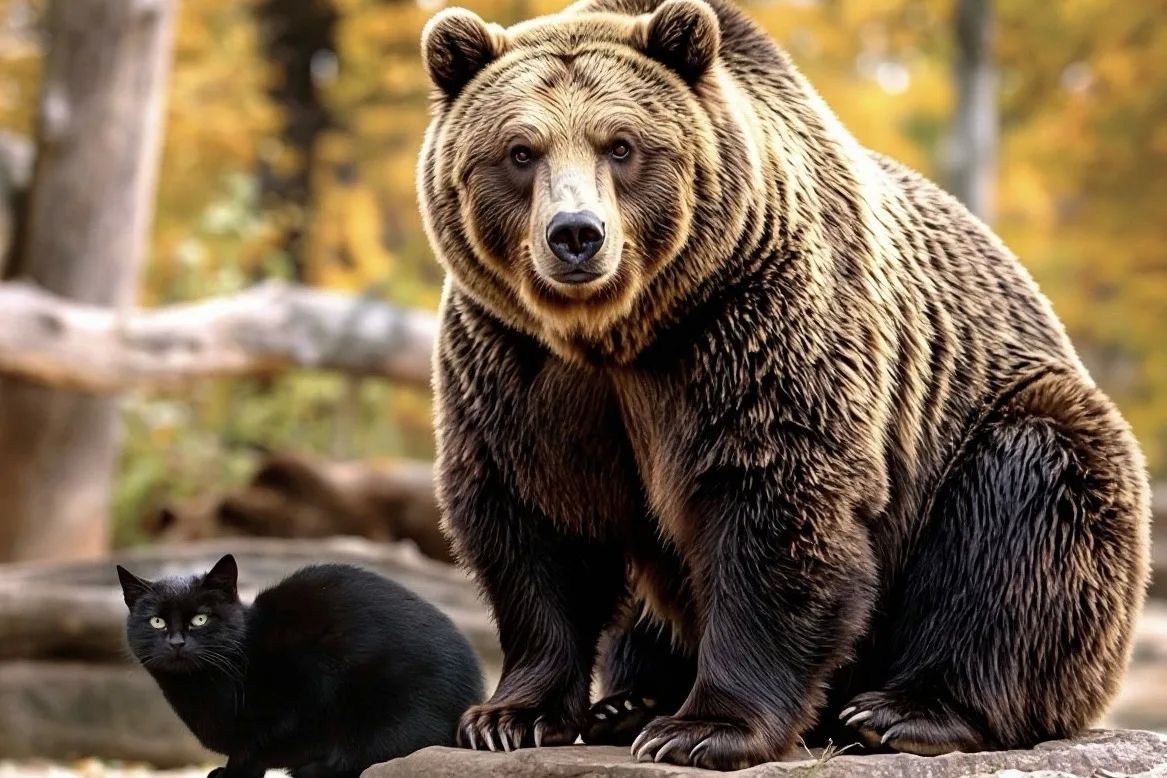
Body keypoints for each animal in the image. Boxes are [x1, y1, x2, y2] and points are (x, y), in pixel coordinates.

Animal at [417, 0, 1151, 769]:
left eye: (620, 145)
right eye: (519, 151)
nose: (576, 234)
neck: (620, 334)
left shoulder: (753, 324)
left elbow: (774, 502)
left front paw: (703, 729)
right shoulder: (512, 360)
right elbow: (533, 523)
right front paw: (511, 716)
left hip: (1014, 427)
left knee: (1025, 500)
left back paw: (904, 712)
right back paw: (630, 701)